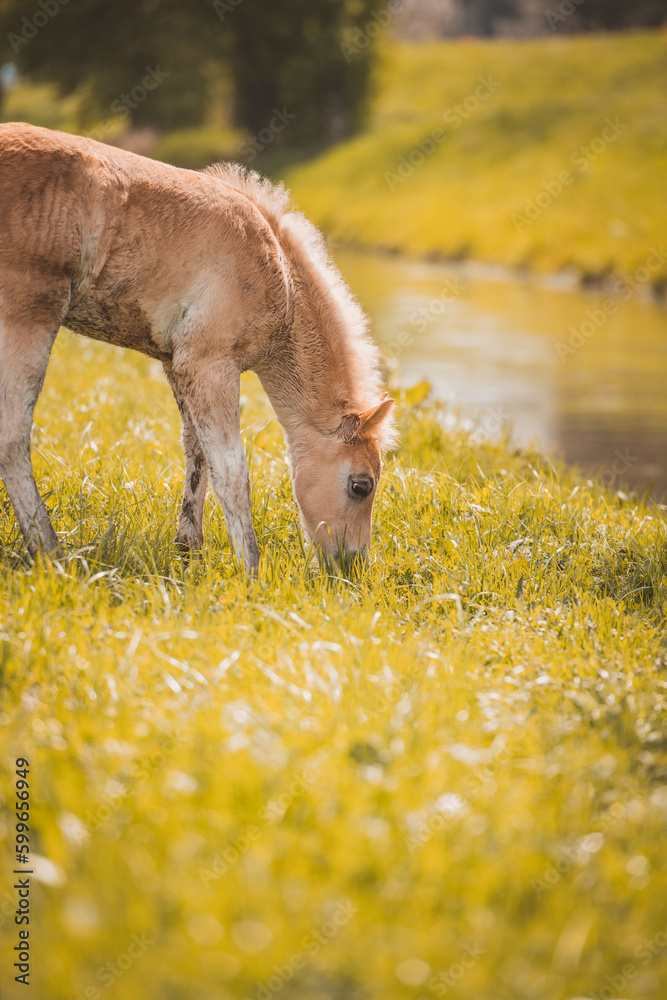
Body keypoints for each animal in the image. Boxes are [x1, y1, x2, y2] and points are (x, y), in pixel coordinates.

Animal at [0, 123, 396, 572]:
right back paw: (50, 553)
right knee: (12, 435)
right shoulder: (209, 364)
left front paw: (188, 553)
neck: (279, 277)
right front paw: (251, 570)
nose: (354, 568)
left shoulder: (178, 363)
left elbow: (196, 452)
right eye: (361, 486)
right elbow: (232, 469)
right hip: (30, 313)